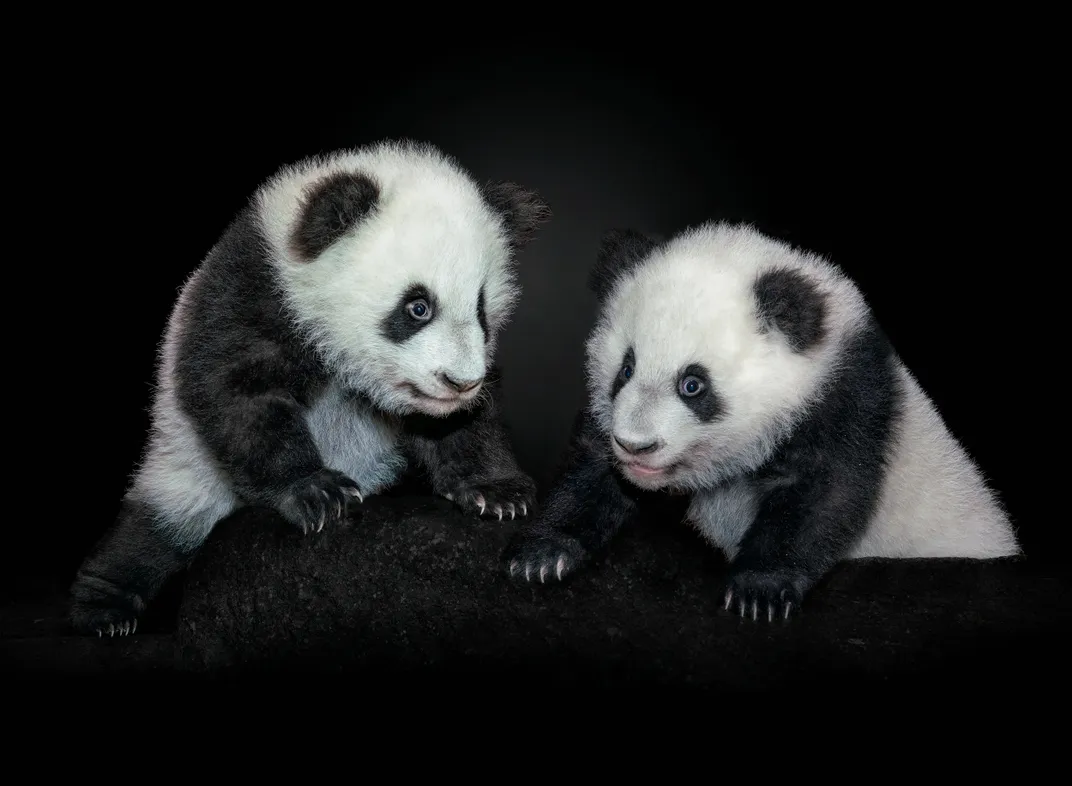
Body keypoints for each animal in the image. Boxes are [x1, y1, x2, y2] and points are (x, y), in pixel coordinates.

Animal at [72, 140, 550, 637]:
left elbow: (465, 425)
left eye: (481, 310)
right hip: (185, 465)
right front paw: (316, 491)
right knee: (151, 532)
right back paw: (105, 611)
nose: (459, 383)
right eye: (417, 307)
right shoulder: (253, 293)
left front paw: (495, 491)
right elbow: (236, 391)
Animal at [503, 221, 1020, 622]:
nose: (636, 446)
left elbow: (826, 490)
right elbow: (592, 468)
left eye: (693, 385)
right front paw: (544, 553)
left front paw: (760, 590)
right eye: (625, 369)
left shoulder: (846, 398)